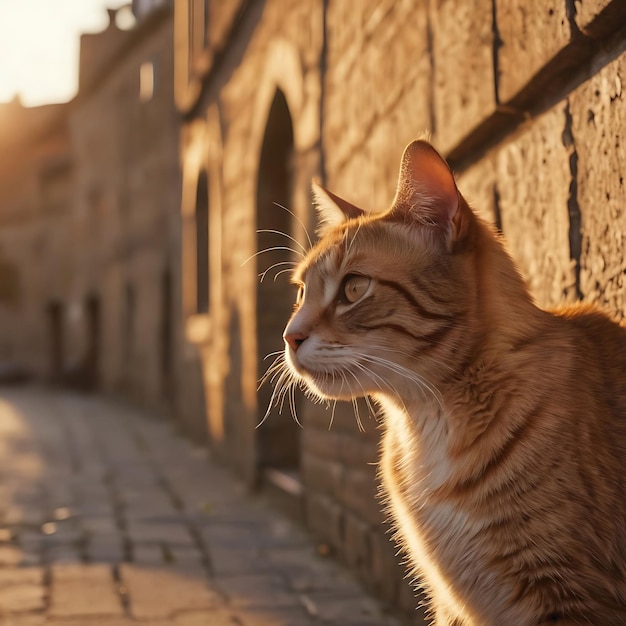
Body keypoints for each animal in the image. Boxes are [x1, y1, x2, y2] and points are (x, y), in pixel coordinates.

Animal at [280, 141, 624, 624]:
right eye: (300, 293)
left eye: (354, 288)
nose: (289, 336)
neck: (429, 424)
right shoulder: (450, 602)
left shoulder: (569, 594)